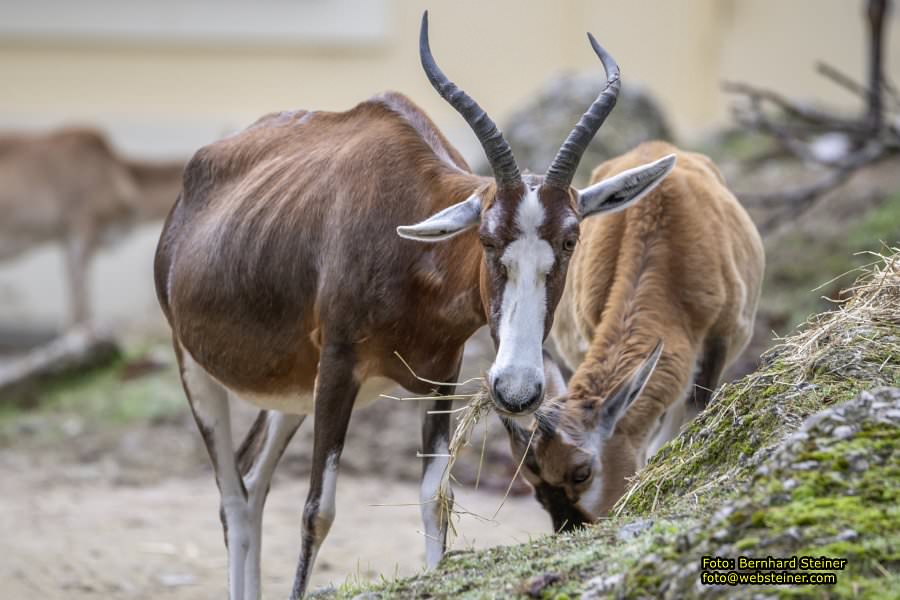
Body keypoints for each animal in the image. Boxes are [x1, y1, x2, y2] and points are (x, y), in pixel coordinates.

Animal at [153, 14, 676, 600]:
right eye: (487, 238)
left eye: (570, 240)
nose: (517, 390)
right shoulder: (338, 370)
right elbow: (317, 509)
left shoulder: (442, 378)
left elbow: (434, 498)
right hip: (197, 369)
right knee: (231, 497)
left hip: (291, 391)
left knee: (251, 480)